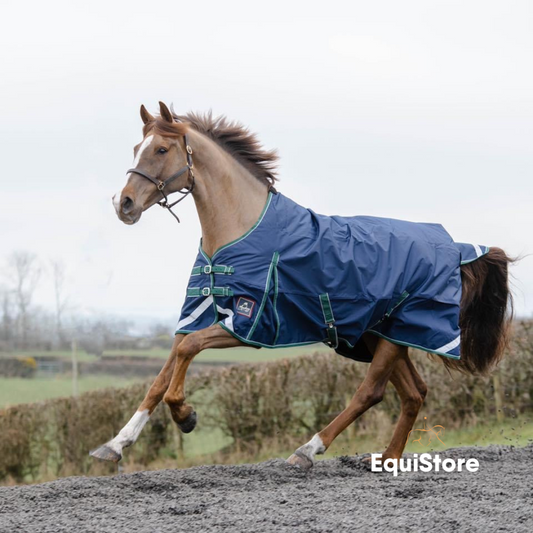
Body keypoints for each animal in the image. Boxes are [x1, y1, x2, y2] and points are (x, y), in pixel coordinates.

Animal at [90, 102, 512, 468]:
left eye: (161, 149)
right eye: (137, 148)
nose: (123, 203)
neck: (238, 232)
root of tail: (455, 248)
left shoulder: (249, 322)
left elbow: (187, 351)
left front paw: (185, 414)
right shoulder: (199, 313)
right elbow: (163, 372)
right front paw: (115, 445)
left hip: (399, 331)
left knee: (371, 391)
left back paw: (308, 450)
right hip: (381, 334)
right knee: (413, 393)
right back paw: (387, 460)